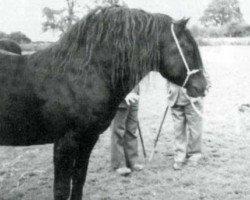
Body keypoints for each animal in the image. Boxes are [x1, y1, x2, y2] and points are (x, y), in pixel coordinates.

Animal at [0, 5, 207, 199]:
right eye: (188, 49)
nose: (203, 87)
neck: (80, 76)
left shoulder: (88, 139)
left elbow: (79, 180)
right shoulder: (64, 143)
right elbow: (61, 189)